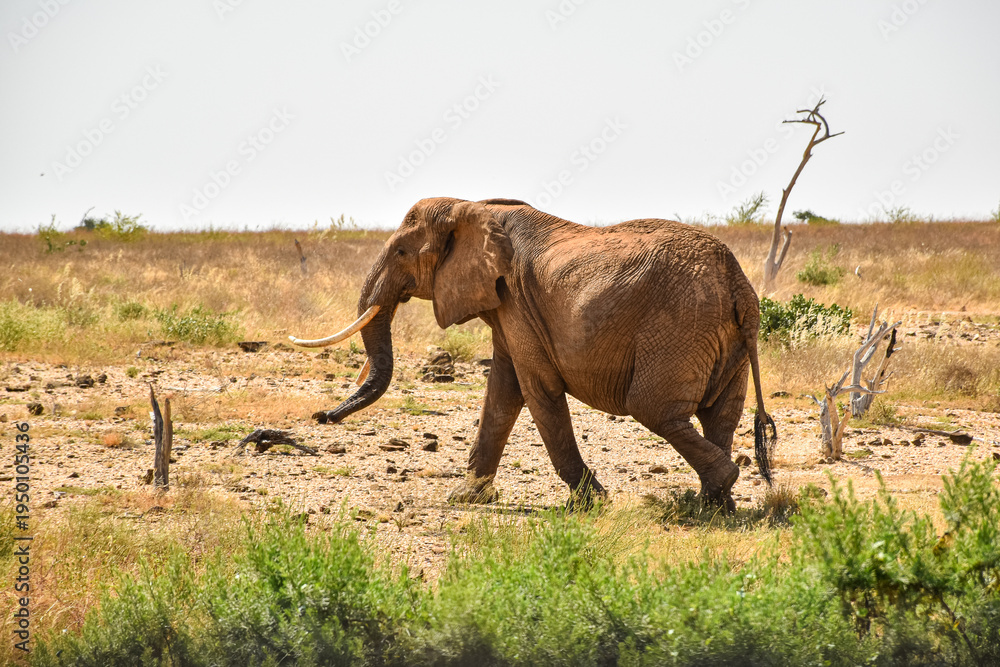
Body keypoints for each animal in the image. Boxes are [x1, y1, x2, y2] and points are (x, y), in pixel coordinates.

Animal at [290, 197, 776, 510]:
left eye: (403, 251)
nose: (321, 417)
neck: (473, 207)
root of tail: (736, 281)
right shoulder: (508, 307)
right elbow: (502, 391)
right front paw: (465, 498)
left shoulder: (517, 302)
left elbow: (536, 388)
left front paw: (592, 504)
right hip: (720, 335)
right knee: (720, 415)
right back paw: (714, 507)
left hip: (680, 326)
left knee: (654, 409)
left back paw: (710, 496)